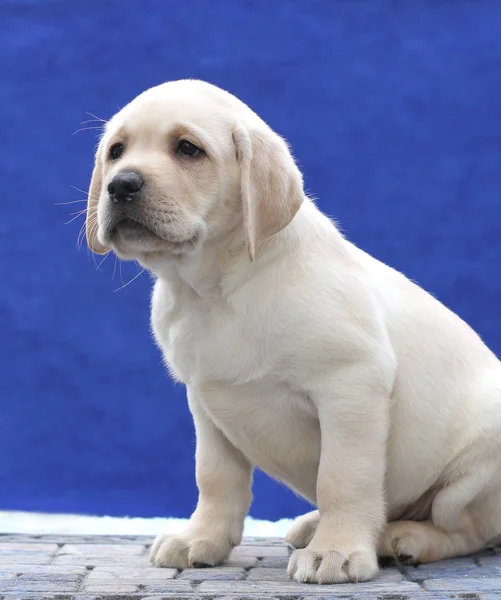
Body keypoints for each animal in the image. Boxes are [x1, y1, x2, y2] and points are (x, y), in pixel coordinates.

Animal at [85, 79, 500, 580]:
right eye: (116, 151)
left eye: (187, 149)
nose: (121, 184)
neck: (212, 292)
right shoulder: (206, 403)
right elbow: (215, 478)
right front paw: (202, 538)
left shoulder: (351, 386)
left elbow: (343, 478)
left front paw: (337, 551)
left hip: (475, 468)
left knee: (469, 530)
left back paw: (406, 538)